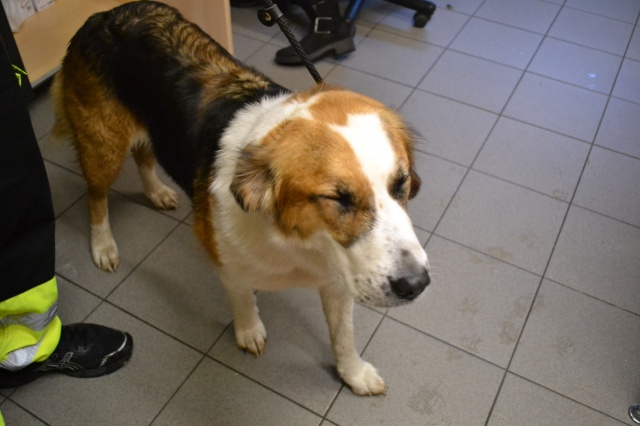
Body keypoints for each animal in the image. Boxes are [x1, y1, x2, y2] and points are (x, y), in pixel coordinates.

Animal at [51, 1, 430, 395]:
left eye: (401, 184)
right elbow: (243, 297)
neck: (299, 246)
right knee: (95, 196)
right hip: (102, 145)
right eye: (338, 198)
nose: (416, 285)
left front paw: (352, 373)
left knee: (143, 155)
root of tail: (106, 14)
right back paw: (103, 245)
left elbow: (343, 336)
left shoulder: (338, 281)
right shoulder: (228, 263)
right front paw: (249, 330)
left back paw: (156, 192)